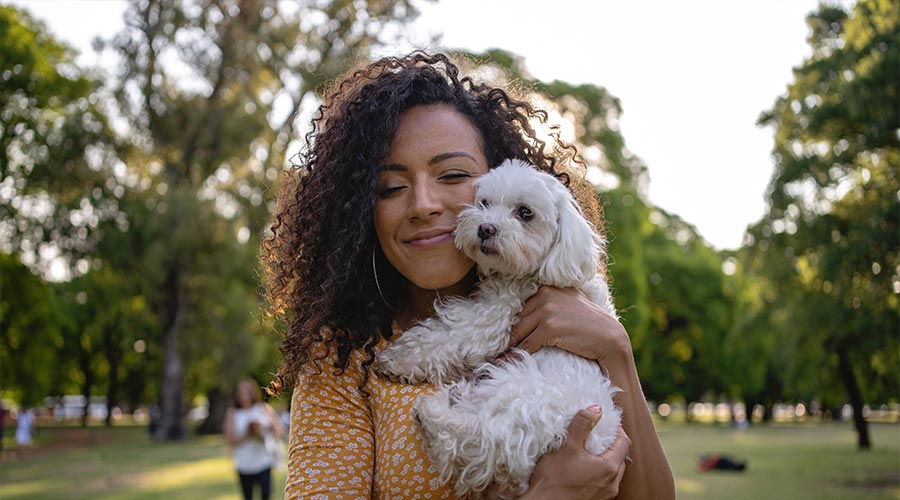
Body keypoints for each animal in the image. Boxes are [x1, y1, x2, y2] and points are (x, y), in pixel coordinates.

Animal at [376, 158, 624, 498]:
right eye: (484, 203)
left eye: (525, 213)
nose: (485, 228)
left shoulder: (495, 315)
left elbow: (447, 333)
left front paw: (396, 360)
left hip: (518, 390)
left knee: (469, 437)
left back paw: (434, 410)